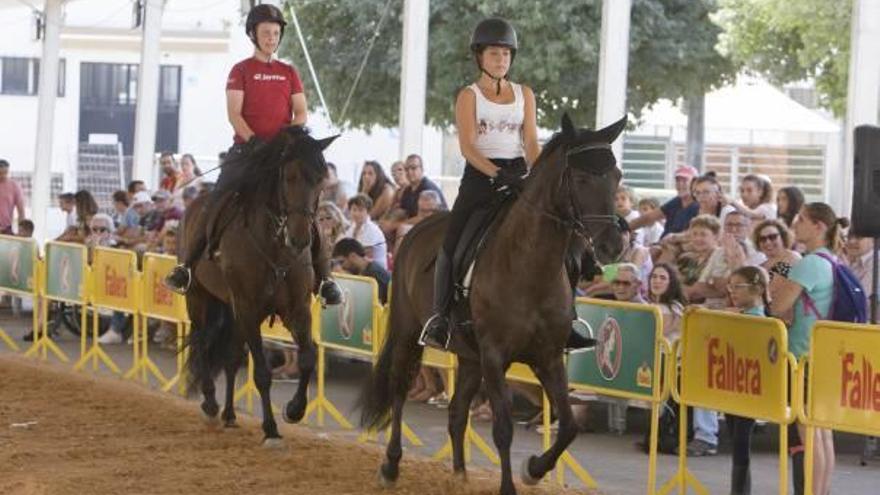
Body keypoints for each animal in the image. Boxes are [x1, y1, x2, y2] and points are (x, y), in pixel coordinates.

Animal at [184, 127, 336, 446]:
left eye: (321, 179)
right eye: (289, 176)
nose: (300, 238)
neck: (275, 245)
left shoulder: (296, 309)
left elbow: (308, 357)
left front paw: (294, 410)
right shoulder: (248, 308)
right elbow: (263, 373)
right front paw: (271, 430)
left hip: (232, 310)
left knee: (230, 357)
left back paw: (229, 414)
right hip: (198, 297)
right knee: (202, 342)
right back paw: (210, 405)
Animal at [358, 115, 624, 495]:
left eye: (616, 176)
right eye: (582, 178)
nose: (612, 246)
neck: (530, 265)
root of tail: (414, 230)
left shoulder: (547, 356)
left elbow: (569, 425)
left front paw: (534, 470)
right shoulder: (496, 356)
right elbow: (503, 429)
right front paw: (511, 484)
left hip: (470, 356)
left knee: (456, 412)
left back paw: (459, 476)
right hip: (411, 333)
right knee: (398, 389)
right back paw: (391, 466)